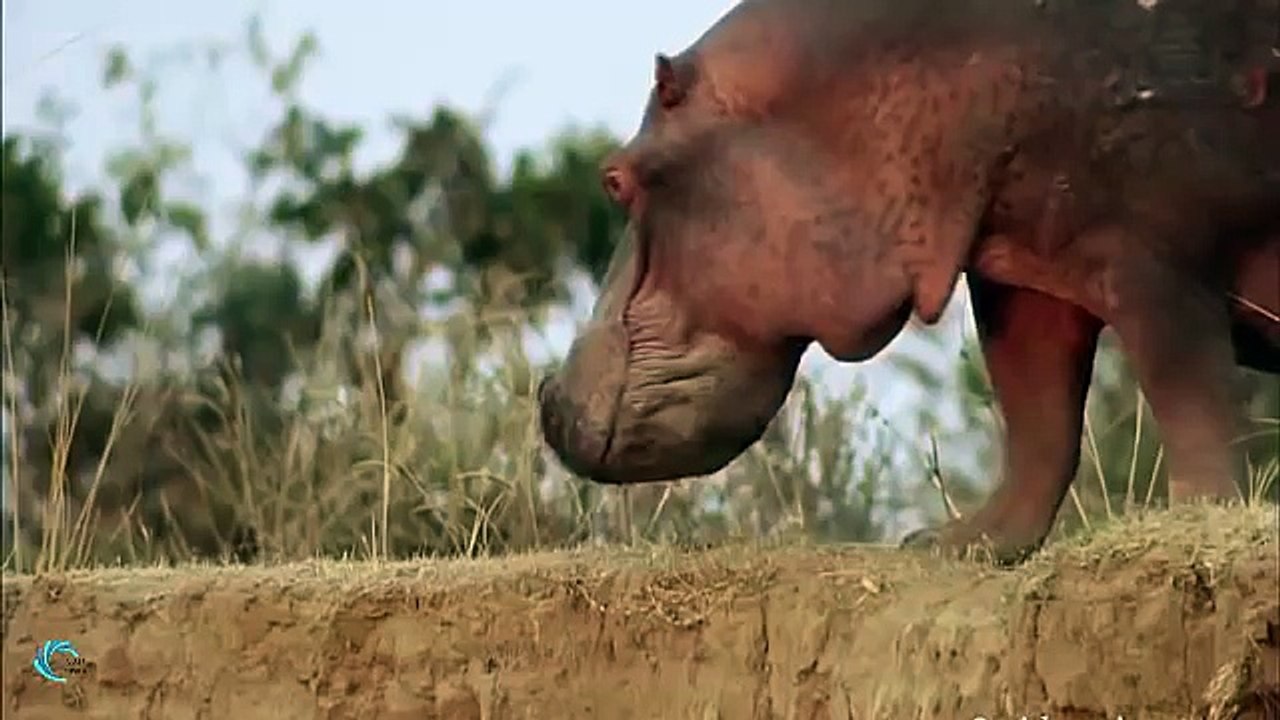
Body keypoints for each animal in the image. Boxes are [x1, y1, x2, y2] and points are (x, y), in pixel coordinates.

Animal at [538, 0, 1280, 562]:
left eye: (614, 178)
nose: (546, 397)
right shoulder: (1020, 270)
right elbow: (1036, 415)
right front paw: (948, 544)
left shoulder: (1153, 260)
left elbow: (1190, 395)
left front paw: (1200, 517)